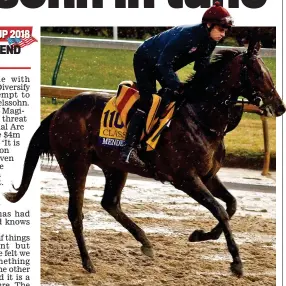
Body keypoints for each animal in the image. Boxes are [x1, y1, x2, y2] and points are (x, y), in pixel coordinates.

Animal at [5, 42, 284, 278]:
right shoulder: (185, 178)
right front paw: (236, 262)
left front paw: (201, 235)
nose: (279, 106)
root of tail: (59, 111)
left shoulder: (208, 176)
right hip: (75, 165)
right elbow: (220, 210)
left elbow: (231, 205)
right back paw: (88, 262)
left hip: (115, 167)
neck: (201, 117)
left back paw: (146, 242)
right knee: (76, 213)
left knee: (110, 203)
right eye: (258, 74)